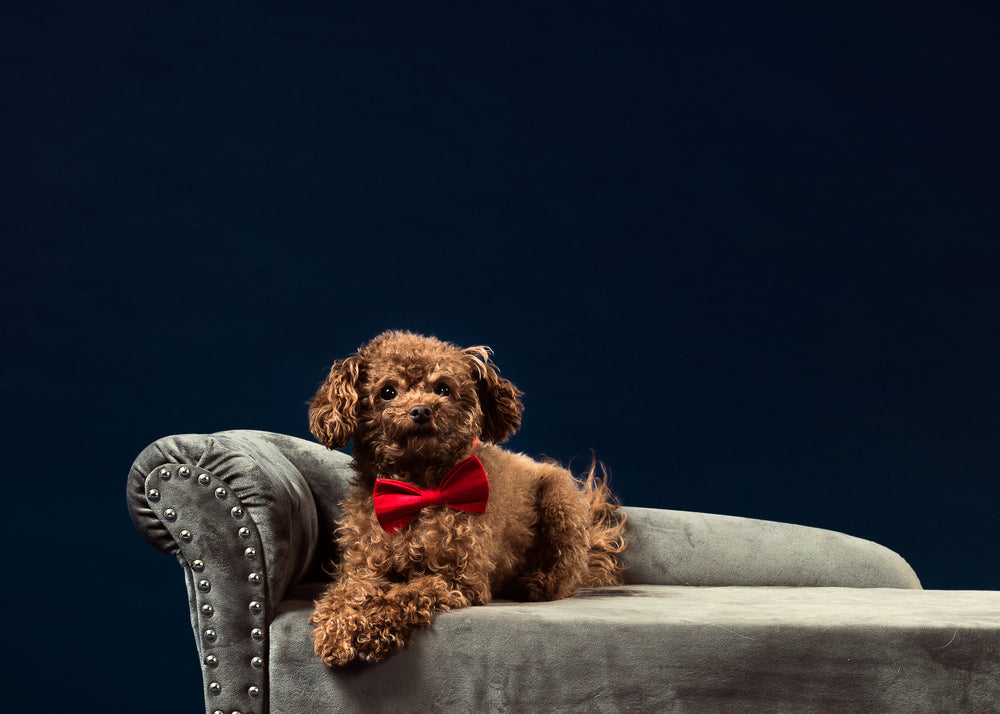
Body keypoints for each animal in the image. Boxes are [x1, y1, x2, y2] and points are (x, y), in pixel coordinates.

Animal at [308, 330, 628, 664]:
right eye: (387, 392)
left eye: (442, 388)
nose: (421, 410)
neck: (419, 491)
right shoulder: (362, 570)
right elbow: (345, 593)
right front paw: (338, 629)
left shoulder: (459, 579)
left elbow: (406, 592)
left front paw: (372, 629)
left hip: (560, 498)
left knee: (567, 570)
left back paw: (536, 583)